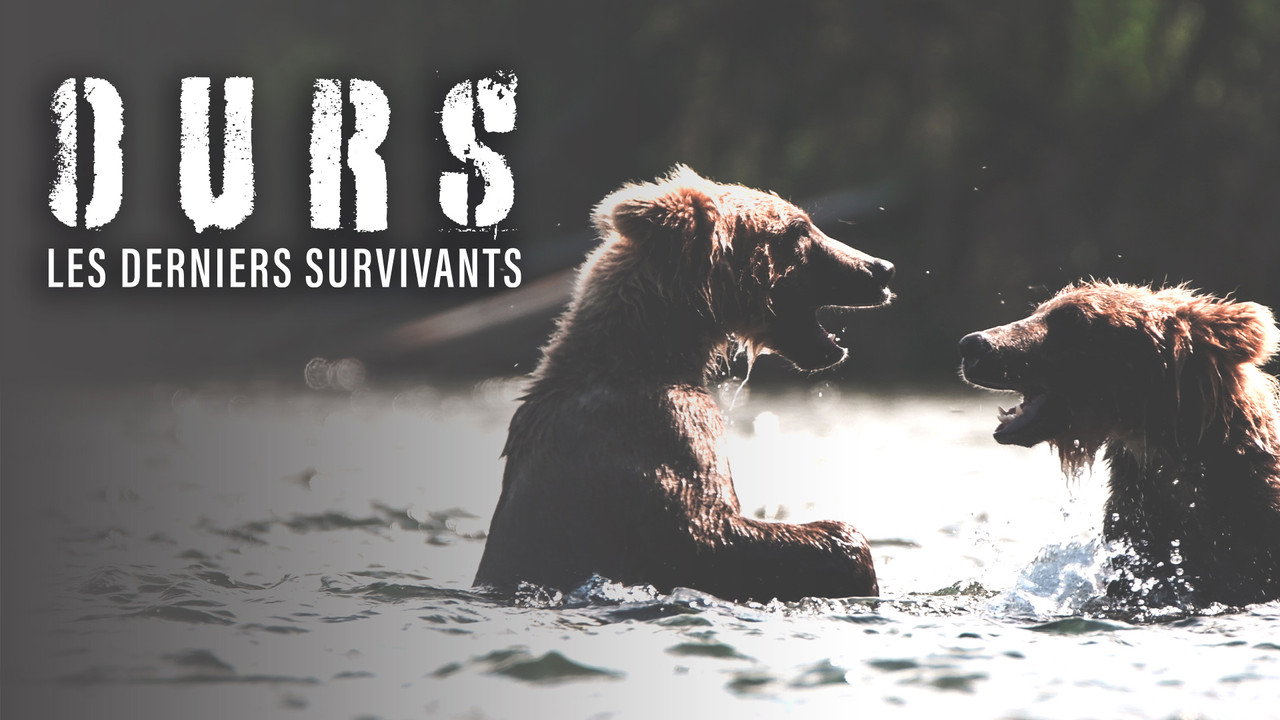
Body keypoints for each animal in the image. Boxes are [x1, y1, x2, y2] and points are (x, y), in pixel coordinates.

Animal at [473, 166, 895, 602]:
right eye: (799, 229)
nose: (881, 268)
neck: (654, 352)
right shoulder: (660, 430)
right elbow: (703, 533)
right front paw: (854, 554)